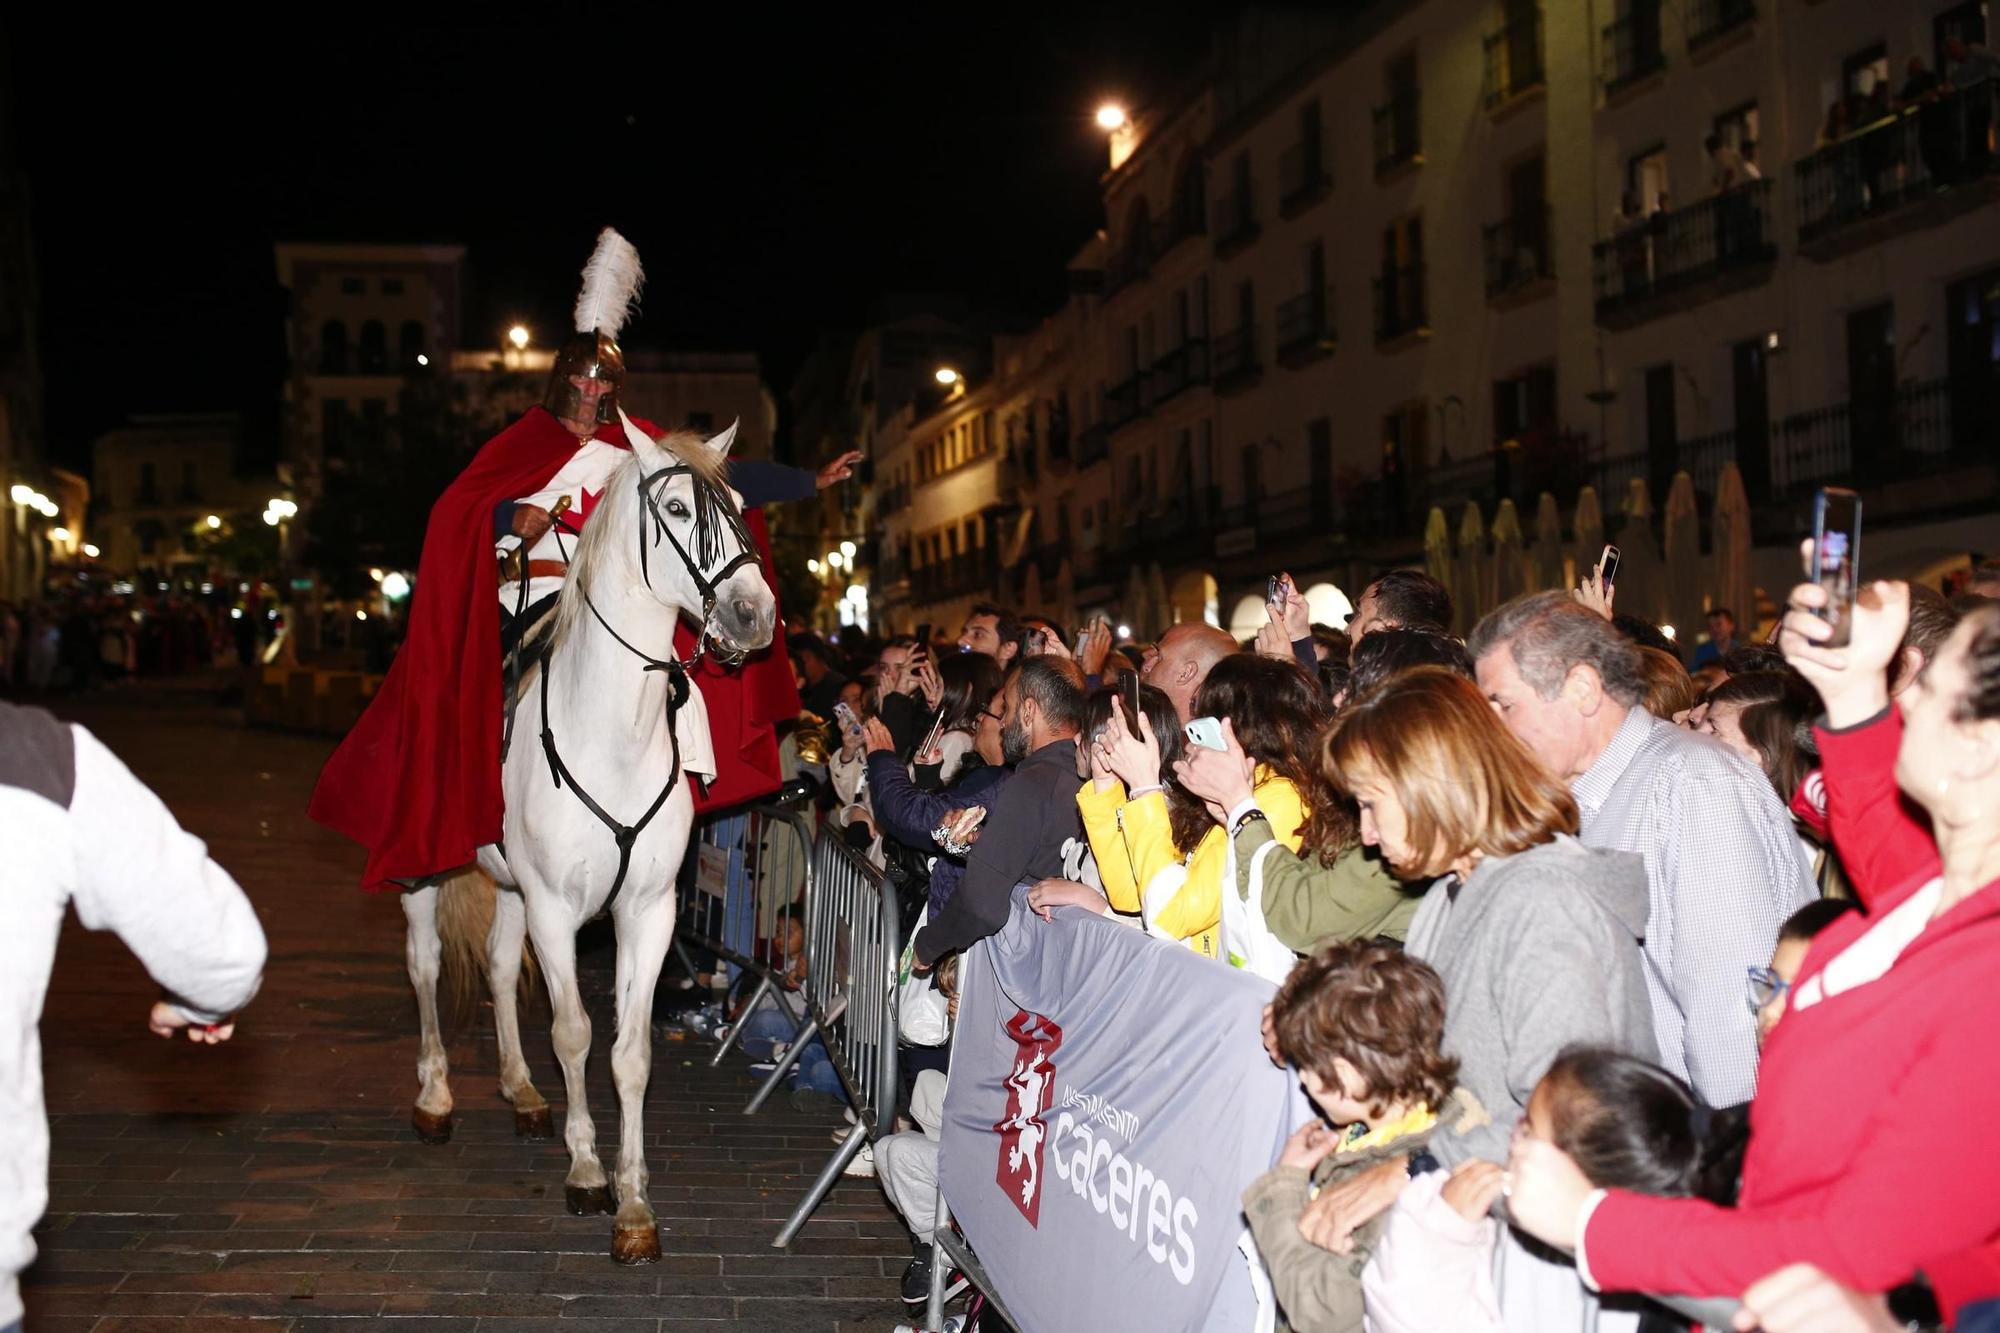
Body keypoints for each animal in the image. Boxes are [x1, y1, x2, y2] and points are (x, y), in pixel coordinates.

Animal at [402, 412, 776, 1256]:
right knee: (427, 963)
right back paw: (435, 1093)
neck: (614, 733)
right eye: (676, 509)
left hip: (510, 886)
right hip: (422, 870)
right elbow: (572, 1031)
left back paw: (520, 1090)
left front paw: (633, 1204)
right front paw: (586, 1172)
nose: (754, 614)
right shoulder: (556, 909)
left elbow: (630, 1054)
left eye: (740, 504)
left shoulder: (648, 909)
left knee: (497, 964)